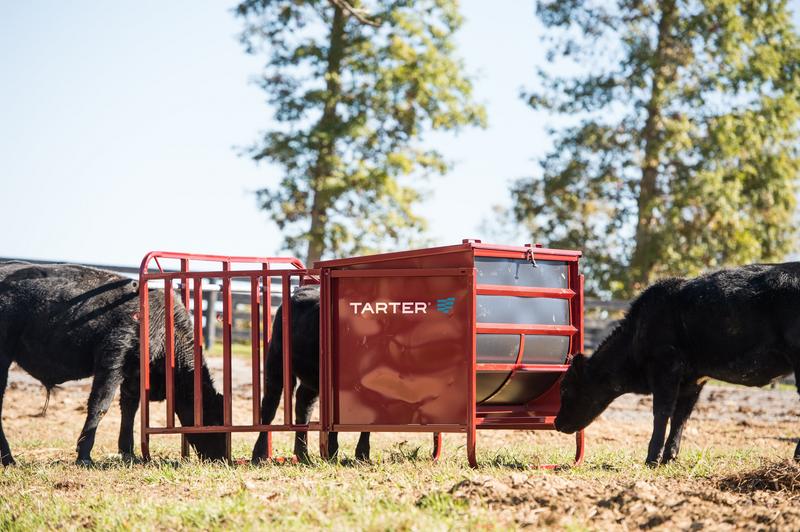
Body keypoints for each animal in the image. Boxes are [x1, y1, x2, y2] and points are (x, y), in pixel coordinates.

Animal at [0, 262, 226, 466]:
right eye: (215, 420)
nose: (221, 458)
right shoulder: (113, 361)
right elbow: (100, 405)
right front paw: (84, 456)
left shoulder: (134, 373)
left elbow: (129, 408)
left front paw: (128, 452)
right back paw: (9, 459)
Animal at [555, 264, 800, 466]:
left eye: (565, 388)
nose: (557, 422)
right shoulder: (693, 380)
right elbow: (681, 417)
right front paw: (669, 457)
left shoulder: (666, 367)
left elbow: (662, 412)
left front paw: (652, 459)